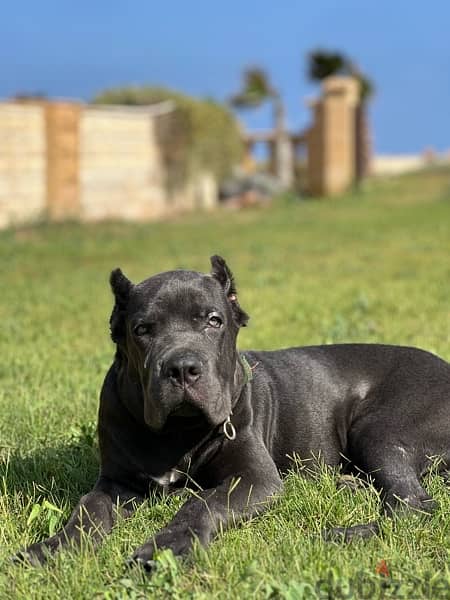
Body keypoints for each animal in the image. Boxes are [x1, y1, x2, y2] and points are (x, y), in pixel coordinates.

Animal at [14, 255, 450, 568]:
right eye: (141, 330)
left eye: (213, 320)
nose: (182, 367)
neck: (177, 432)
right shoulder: (116, 482)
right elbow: (88, 510)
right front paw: (49, 549)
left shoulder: (254, 478)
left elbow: (199, 504)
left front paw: (165, 548)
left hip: (381, 430)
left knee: (413, 505)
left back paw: (341, 534)